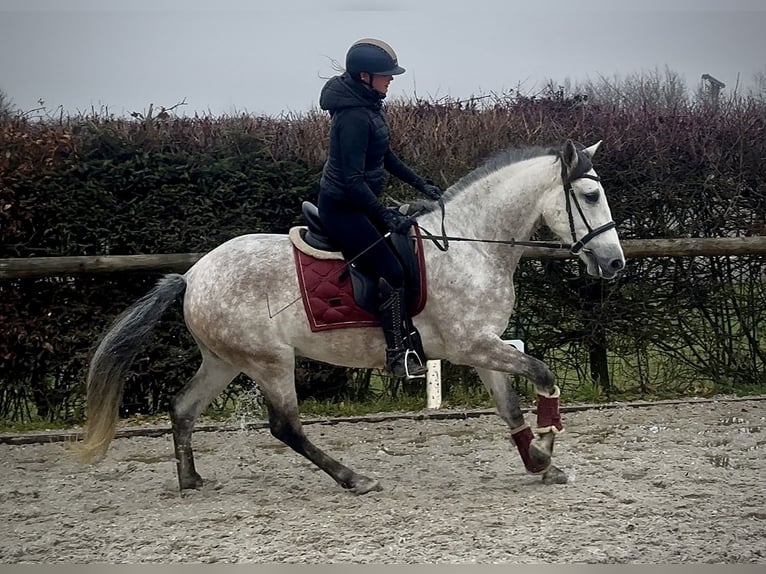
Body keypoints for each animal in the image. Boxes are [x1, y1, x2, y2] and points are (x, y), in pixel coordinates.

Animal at [77, 139, 625, 494]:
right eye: (590, 196)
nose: (616, 263)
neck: (471, 244)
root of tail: (193, 274)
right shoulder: (473, 343)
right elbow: (543, 375)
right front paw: (548, 449)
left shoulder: (483, 346)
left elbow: (510, 409)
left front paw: (539, 463)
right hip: (270, 362)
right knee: (285, 428)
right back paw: (354, 478)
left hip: (225, 360)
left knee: (183, 408)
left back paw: (190, 479)